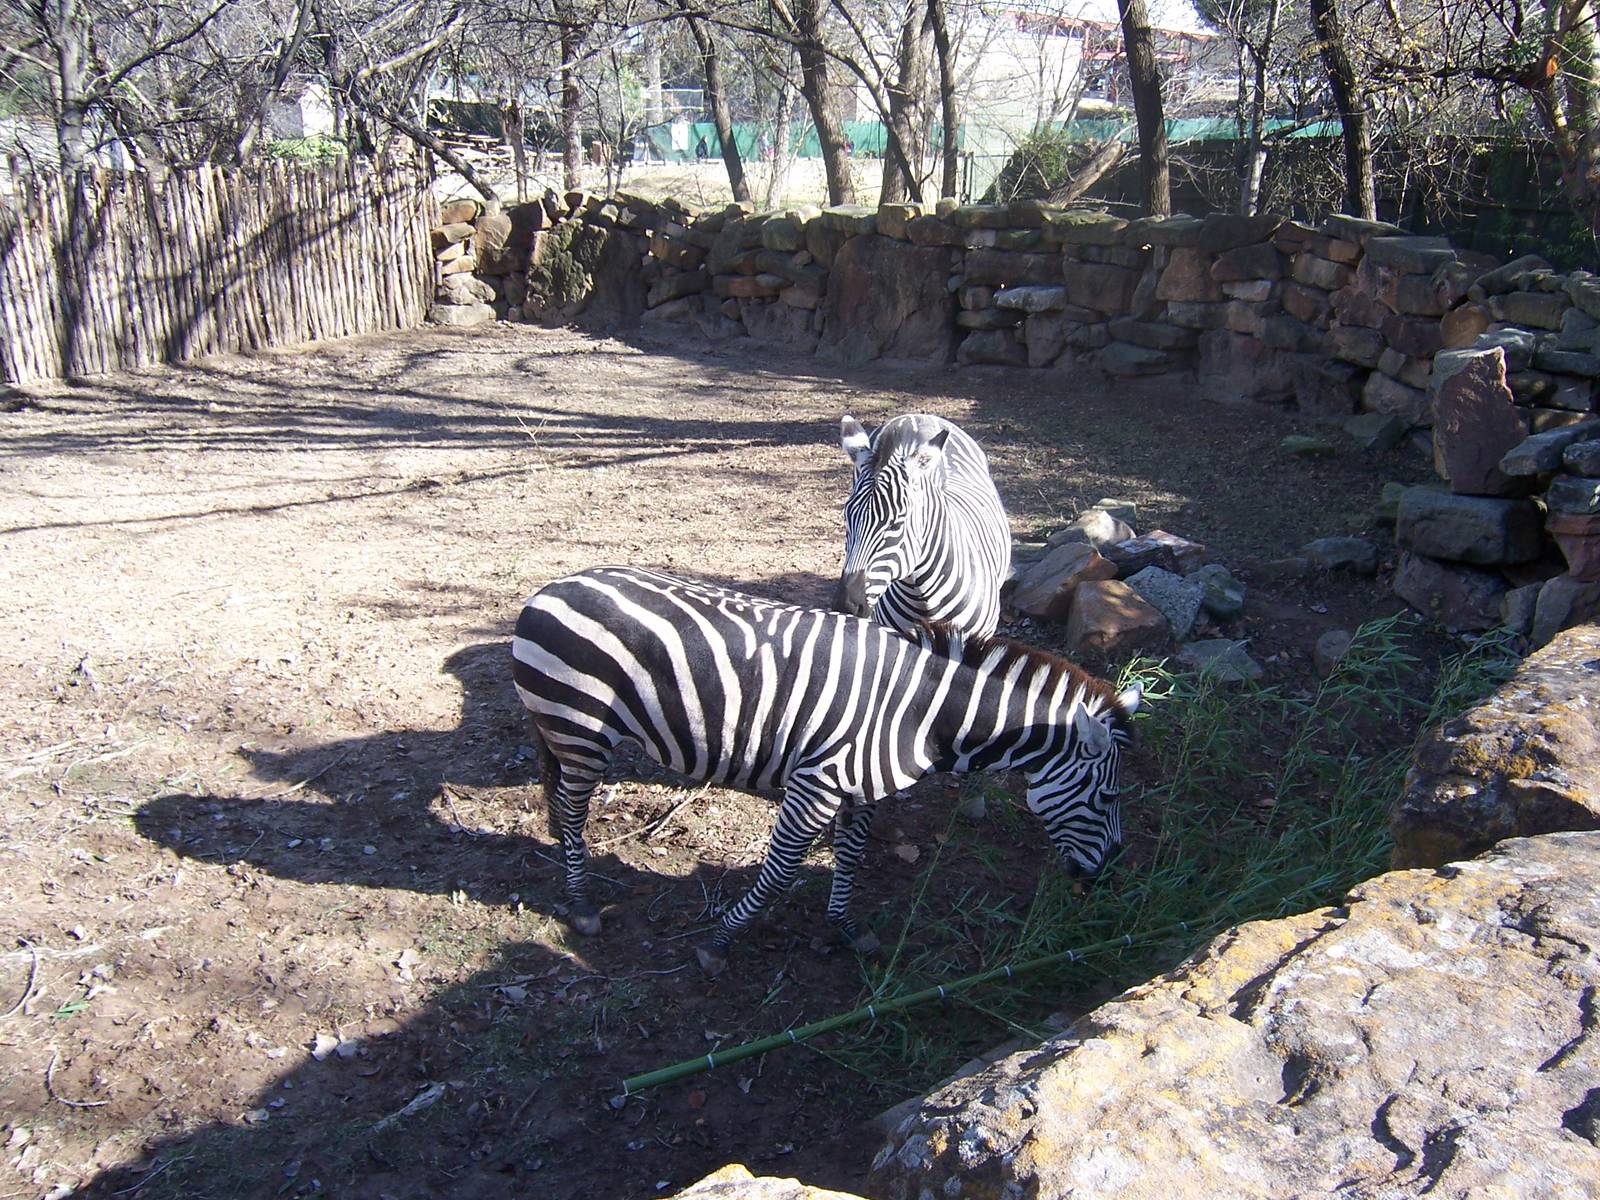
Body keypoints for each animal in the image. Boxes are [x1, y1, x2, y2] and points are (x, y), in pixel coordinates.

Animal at [511, 566, 1141, 975]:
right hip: (581, 729)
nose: (1109, 876)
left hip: (567, 733)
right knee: (572, 810)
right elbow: (780, 872)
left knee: (561, 802)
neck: (919, 713)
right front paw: (721, 942)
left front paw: (846, 927)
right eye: (1108, 797)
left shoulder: (861, 791)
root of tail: (550, 589)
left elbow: (852, 858)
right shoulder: (816, 785)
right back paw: (581, 905)